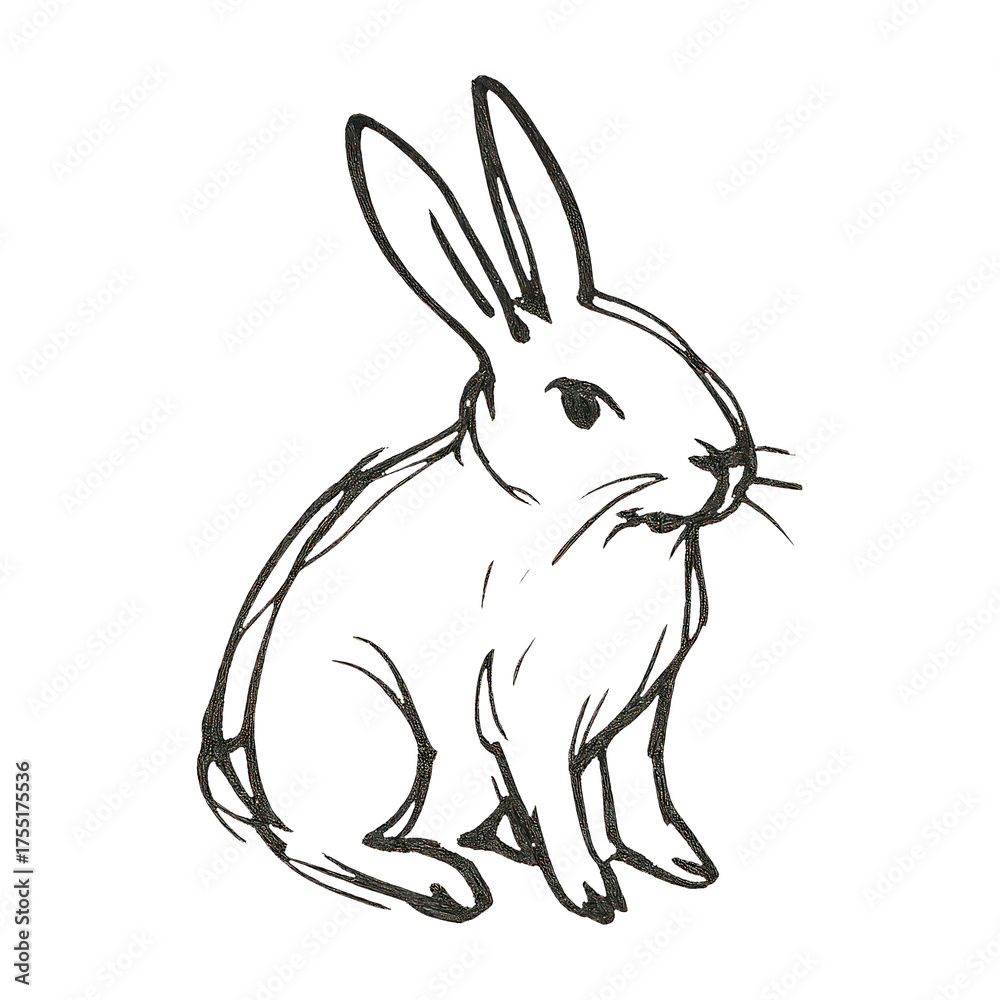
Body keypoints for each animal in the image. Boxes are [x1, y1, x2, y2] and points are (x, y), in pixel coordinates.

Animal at [197, 75, 800, 924]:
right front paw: (593, 894)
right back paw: (443, 880)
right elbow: (564, 803)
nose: (727, 461)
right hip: (381, 732)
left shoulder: (641, 709)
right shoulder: (528, 710)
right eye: (580, 405)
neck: (597, 528)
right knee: (323, 845)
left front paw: (681, 863)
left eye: (681, 349)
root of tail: (249, 778)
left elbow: (635, 791)